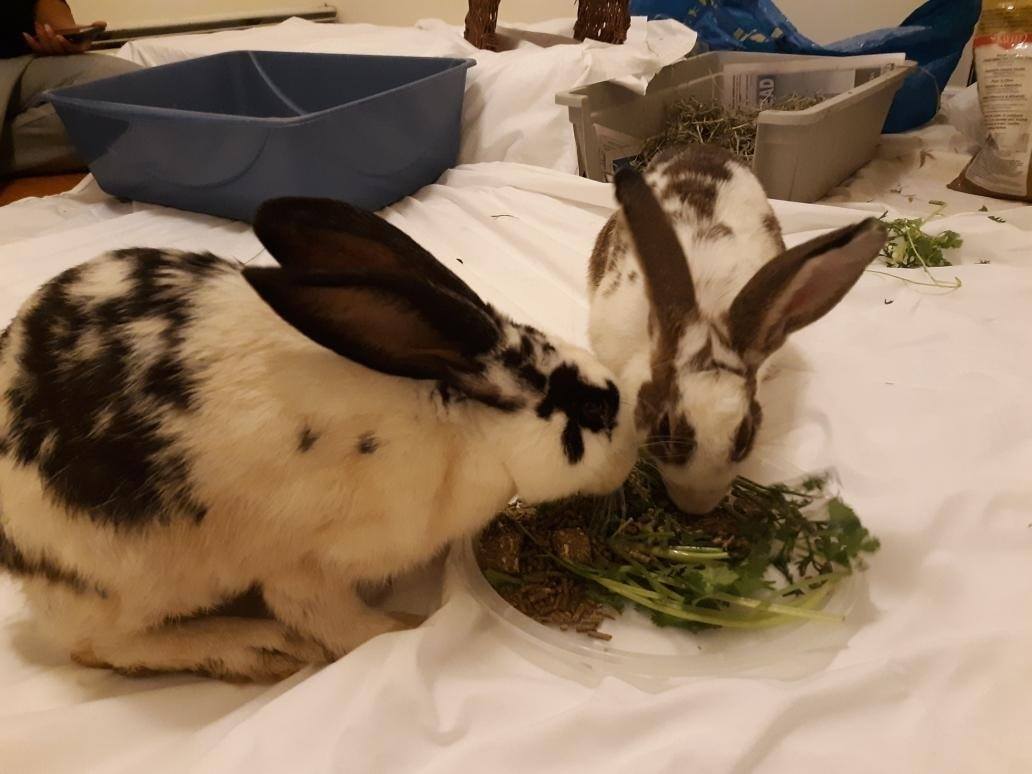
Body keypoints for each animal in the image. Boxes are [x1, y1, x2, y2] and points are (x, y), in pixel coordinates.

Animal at [0, 197, 639, 681]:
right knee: (96, 645)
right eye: (593, 408)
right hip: (131, 578)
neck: (458, 424)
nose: (633, 457)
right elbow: (328, 618)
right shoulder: (303, 559)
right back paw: (258, 650)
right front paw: (400, 629)